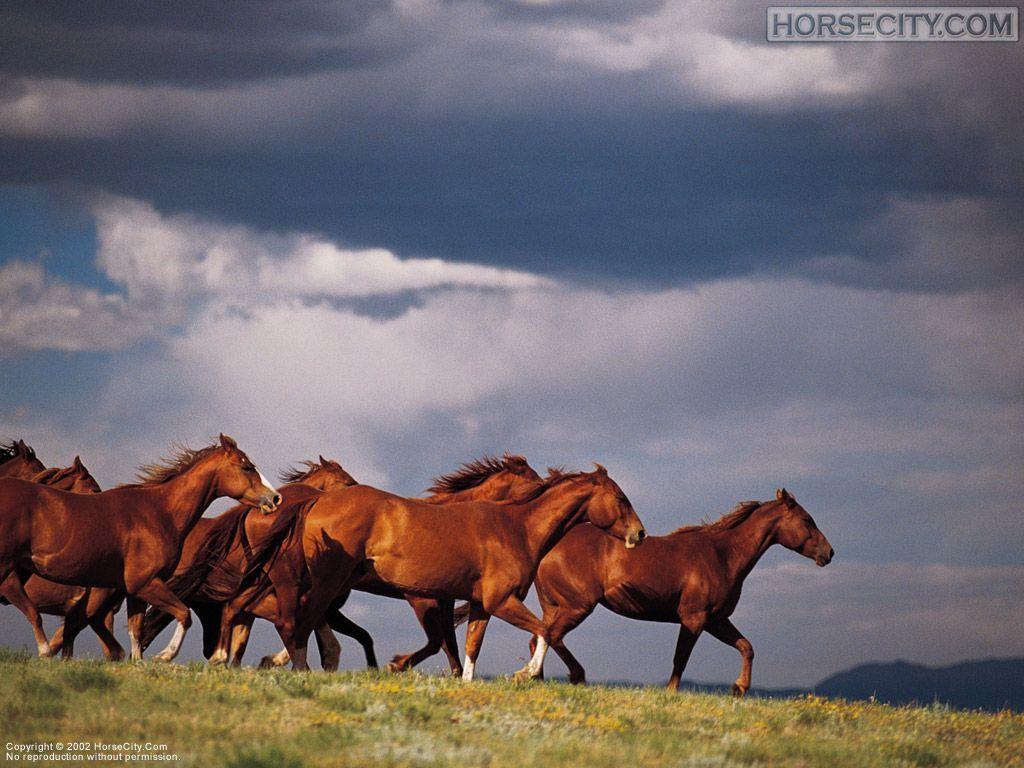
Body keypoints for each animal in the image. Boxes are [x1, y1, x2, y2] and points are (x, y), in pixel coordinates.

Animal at [281, 464, 646, 676]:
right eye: (620, 498)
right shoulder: (497, 601)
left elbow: (469, 649)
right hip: (328, 581)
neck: (516, 528)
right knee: (304, 618)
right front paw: (525, 673)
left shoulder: (479, 604)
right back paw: (299, 669)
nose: (640, 534)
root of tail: (317, 501)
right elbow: (545, 630)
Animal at [512, 488, 833, 691]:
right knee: (551, 636)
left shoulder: (716, 620)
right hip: (577, 606)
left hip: (557, 606)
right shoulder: (694, 618)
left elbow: (746, 647)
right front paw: (671, 693)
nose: (828, 553)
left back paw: (540, 680)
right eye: (807, 520)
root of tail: (547, 547)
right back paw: (565, 676)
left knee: (539, 637)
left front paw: (739, 688)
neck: (722, 555)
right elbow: (680, 658)